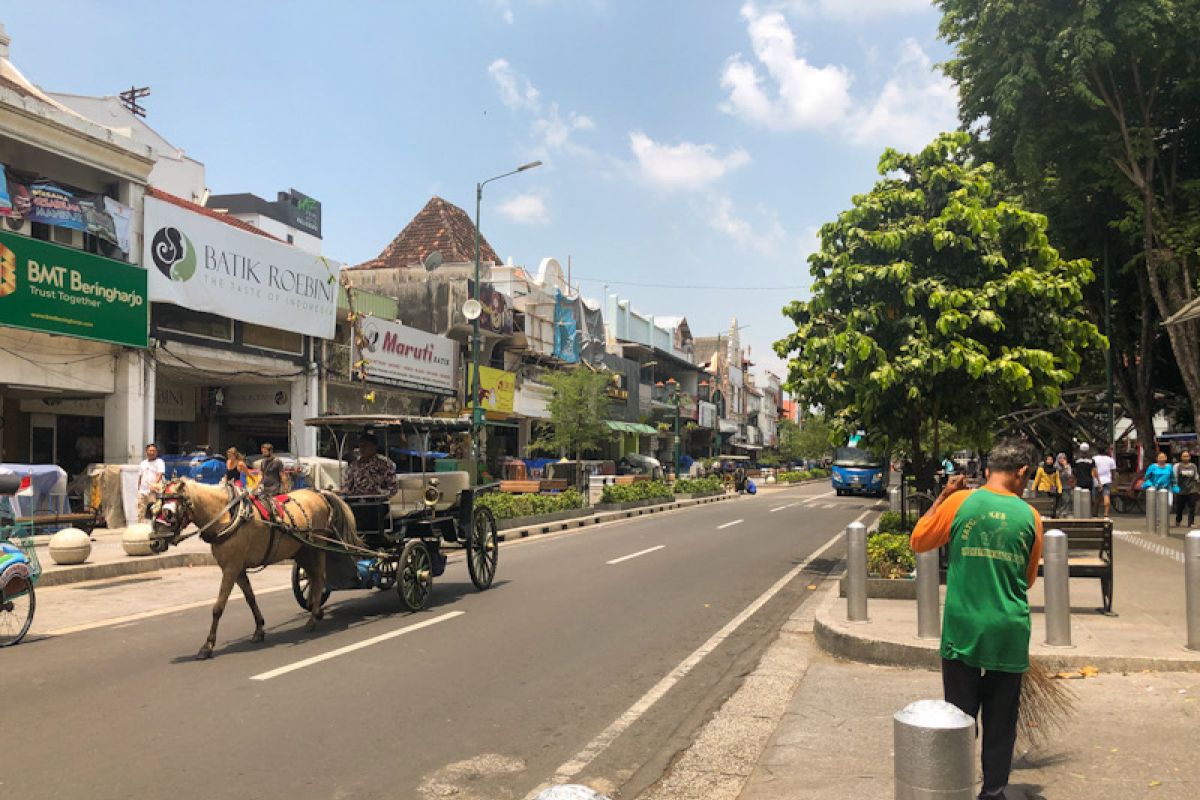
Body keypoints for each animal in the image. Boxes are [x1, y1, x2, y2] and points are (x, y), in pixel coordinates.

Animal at [148, 479, 360, 662]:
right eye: (153, 509)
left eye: (168, 512)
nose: (154, 543)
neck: (227, 516)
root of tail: (320, 493)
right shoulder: (238, 570)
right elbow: (250, 599)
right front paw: (259, 630)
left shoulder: (230, 569)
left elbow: (218, 607)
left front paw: (207, 646)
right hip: (302, 550)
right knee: (314, 579)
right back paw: (316, 611)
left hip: (318, 546)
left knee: (320, 577)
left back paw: (313, 618)